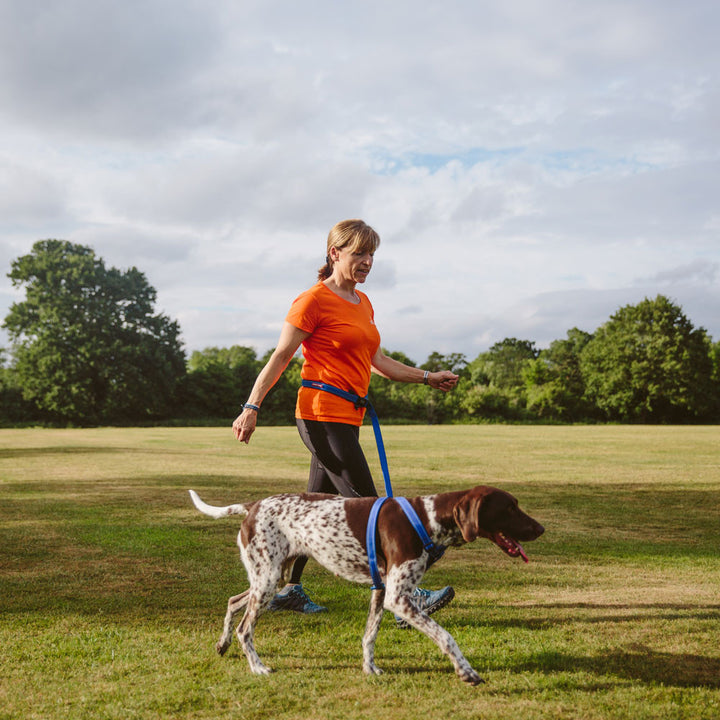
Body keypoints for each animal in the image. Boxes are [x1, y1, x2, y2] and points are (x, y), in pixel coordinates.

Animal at [188, 486, 544, 684]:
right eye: (510, 507)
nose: (541, 529)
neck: (426, 518)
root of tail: (254, 506)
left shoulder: (382, 592)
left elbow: (369, 636)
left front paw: (369, 669)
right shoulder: (398, 598)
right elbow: (446, 637)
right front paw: (466, 672)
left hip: (270, 578)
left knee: (233, 602)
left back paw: (222, 644)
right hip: (268, 581)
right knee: (245, 628)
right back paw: (258, 667)